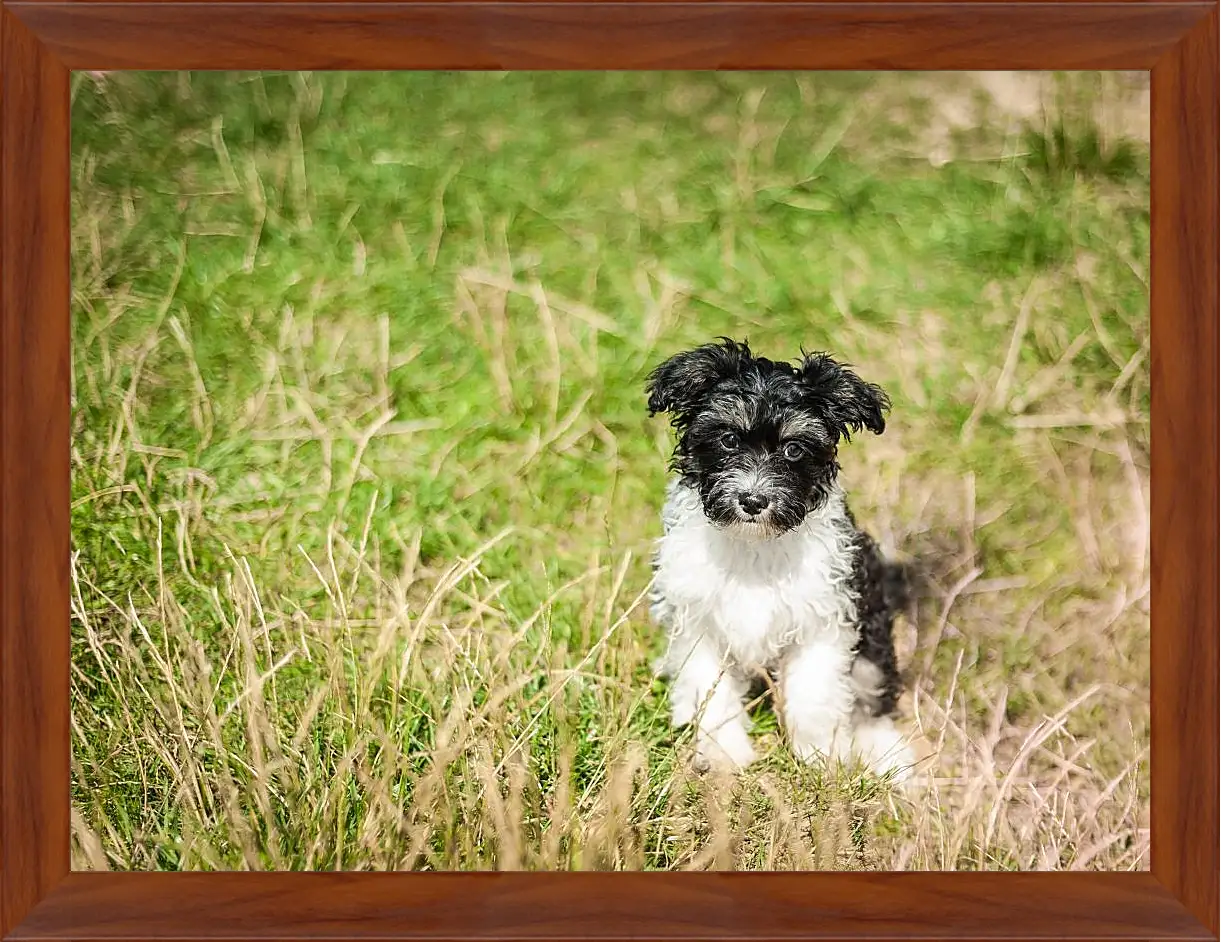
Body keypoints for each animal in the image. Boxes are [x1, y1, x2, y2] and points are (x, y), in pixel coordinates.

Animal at [649, 339, 918, 781]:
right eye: (728, 440)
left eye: (793, 449)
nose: (753, 500)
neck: (754, 545)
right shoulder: (699, 622)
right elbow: (712, 693)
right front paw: (725, 756)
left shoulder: (824, 619)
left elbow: (815, 695)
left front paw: (821, 759)